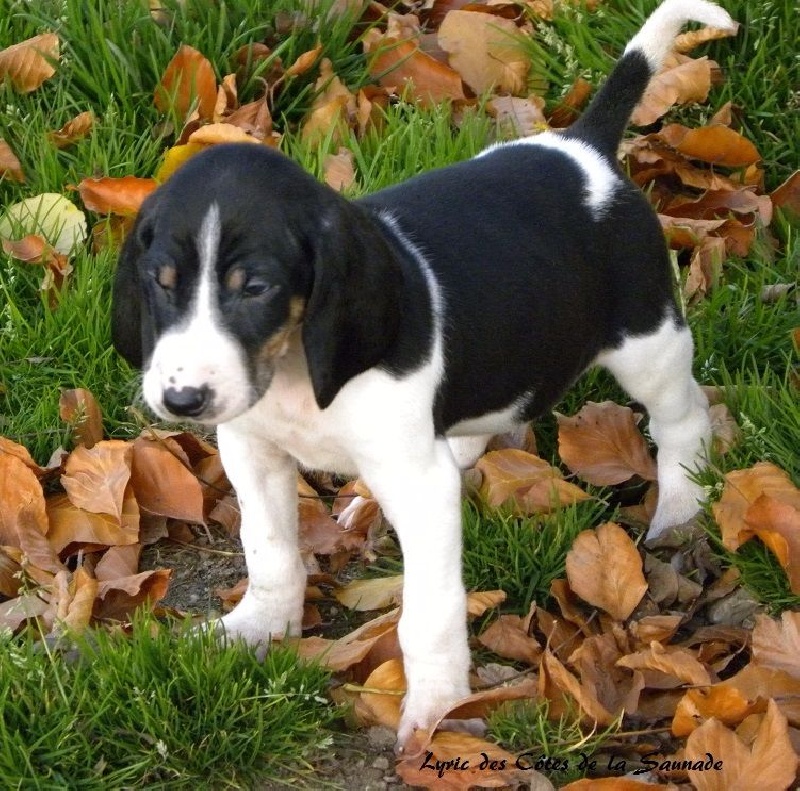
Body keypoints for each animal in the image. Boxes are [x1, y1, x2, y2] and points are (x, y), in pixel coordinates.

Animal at [112, 0, 734, 748]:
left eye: (255, 288)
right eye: (160, 281)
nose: (183, 399)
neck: (296, 372)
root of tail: (585, 150)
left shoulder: (418, 487)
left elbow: (428, 613)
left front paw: (438, 711)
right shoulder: (252, 451)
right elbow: (269, 551)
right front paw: (260, 626)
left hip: (648, 344)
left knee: (683, 418)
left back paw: (680, 509)